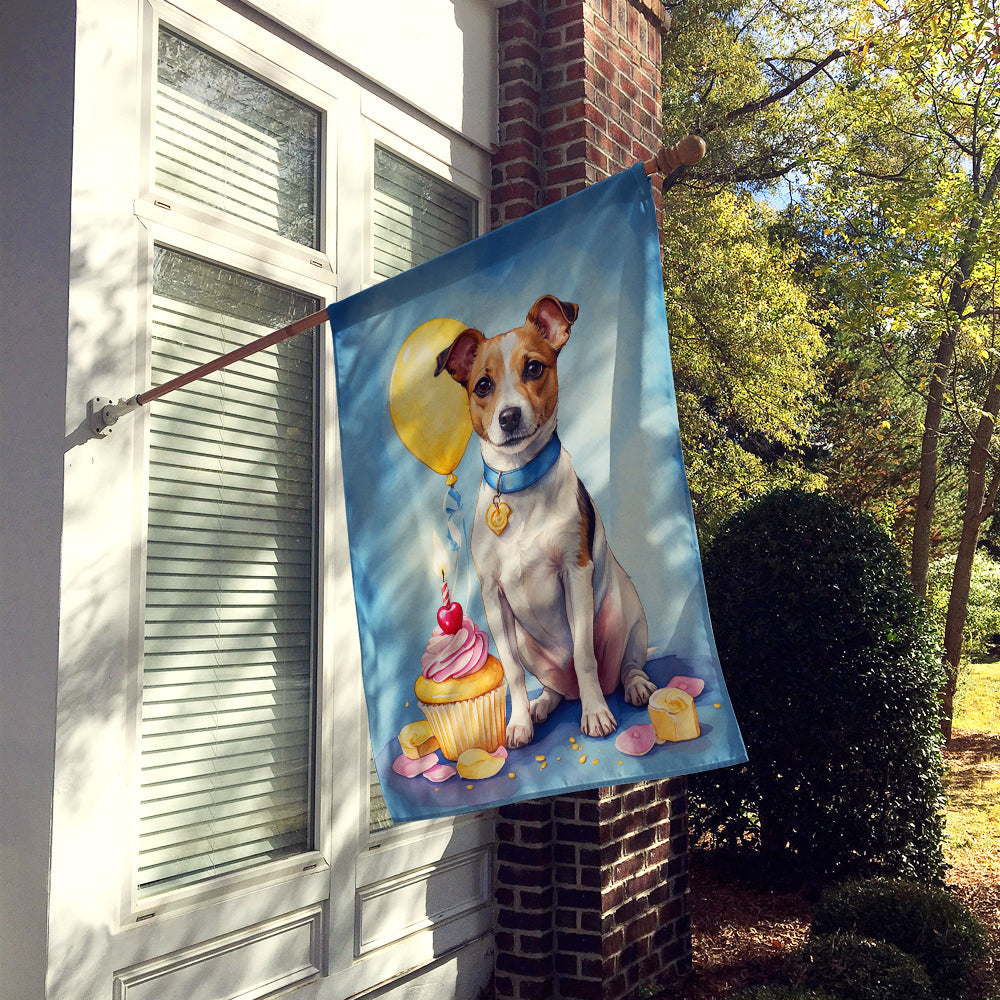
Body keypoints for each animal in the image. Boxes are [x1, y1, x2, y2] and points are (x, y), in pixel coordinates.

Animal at [435, 294, 654, 748]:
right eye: (483, 385)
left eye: (534, 368)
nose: (508, 417)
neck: (519, 486)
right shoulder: (494, 597)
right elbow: (513, 673)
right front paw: (520, 721)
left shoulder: (575, 573)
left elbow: (584, 655)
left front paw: (595, 716)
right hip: (528, 643)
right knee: (555, 686)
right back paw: (543, 705)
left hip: (628, 614)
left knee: (624, 665)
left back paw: (631, 687)